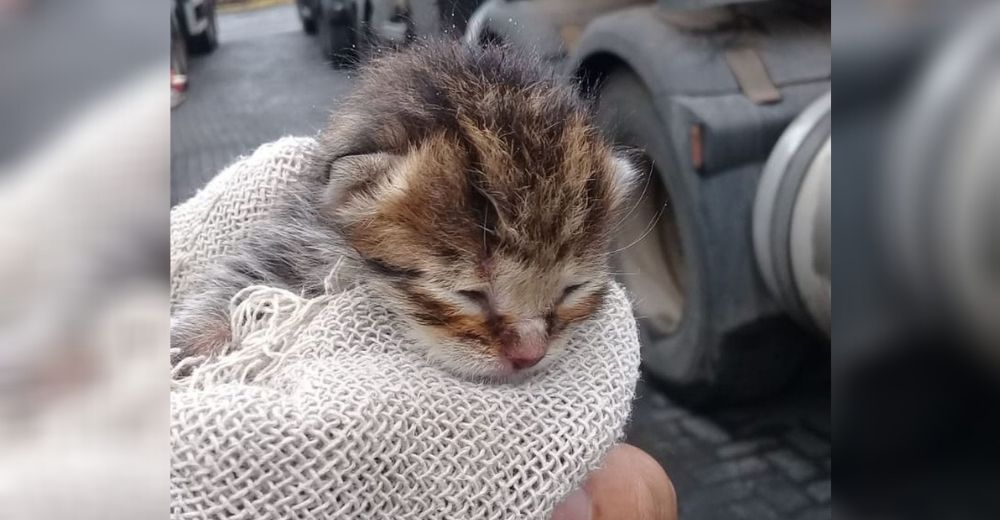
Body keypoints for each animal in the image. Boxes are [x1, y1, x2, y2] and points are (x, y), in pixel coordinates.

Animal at [172, 40, 636, 380]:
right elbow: (236, 285)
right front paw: (188, 347)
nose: (529, 355)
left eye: (572, 289)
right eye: (468, 293)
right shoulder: (295, 240)